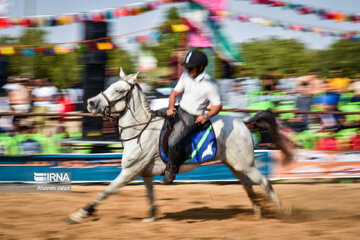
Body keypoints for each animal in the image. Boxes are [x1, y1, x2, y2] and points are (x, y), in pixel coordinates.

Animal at [67, 69, 292, 223]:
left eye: (119, 90)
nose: (90, 103)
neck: (140, 130)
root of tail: (243, 122)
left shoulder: (129, 172)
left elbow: (105, 191)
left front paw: (80, 214)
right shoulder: (144, 173)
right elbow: (149, 195)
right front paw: (151, 218)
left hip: (246, 165)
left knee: (265, 183)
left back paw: (284, 211)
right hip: (235, 165)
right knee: (247, 185)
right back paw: (258, 211)